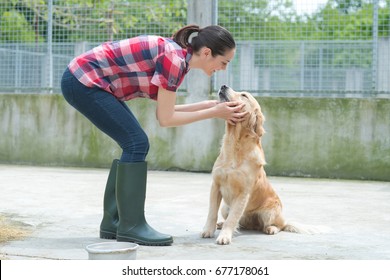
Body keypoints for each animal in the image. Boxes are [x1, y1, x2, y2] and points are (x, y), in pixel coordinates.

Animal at [201, 85, 326, 245]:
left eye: (244, 95)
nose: (223, 86)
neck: (235, 144)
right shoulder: (216, 185)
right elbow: (212, 212)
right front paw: (208, 230)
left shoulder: (243, 193)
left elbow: (233, 218)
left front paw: (225, 236)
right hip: (225, 207)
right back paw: (222, 224)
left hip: (269, 211)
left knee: (278, 225)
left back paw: (271, 228)